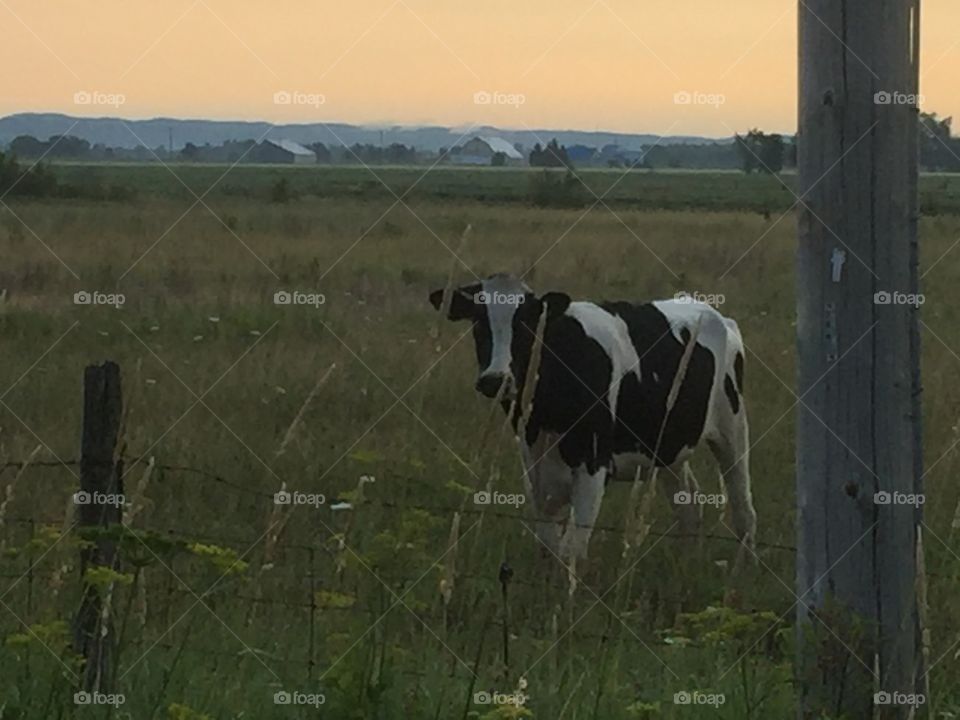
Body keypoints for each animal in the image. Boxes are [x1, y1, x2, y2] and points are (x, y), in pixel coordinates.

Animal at [430, 274, 757, 563]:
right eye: (478, 324)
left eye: (527, 325)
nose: (495, 380)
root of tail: (714, 313)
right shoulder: (534, 466)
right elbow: (548, 547)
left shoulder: (593, 463)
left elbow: (571, 550)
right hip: (668, 447)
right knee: (688, 506)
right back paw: (686, 564)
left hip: (733, 428)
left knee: (743, 509)